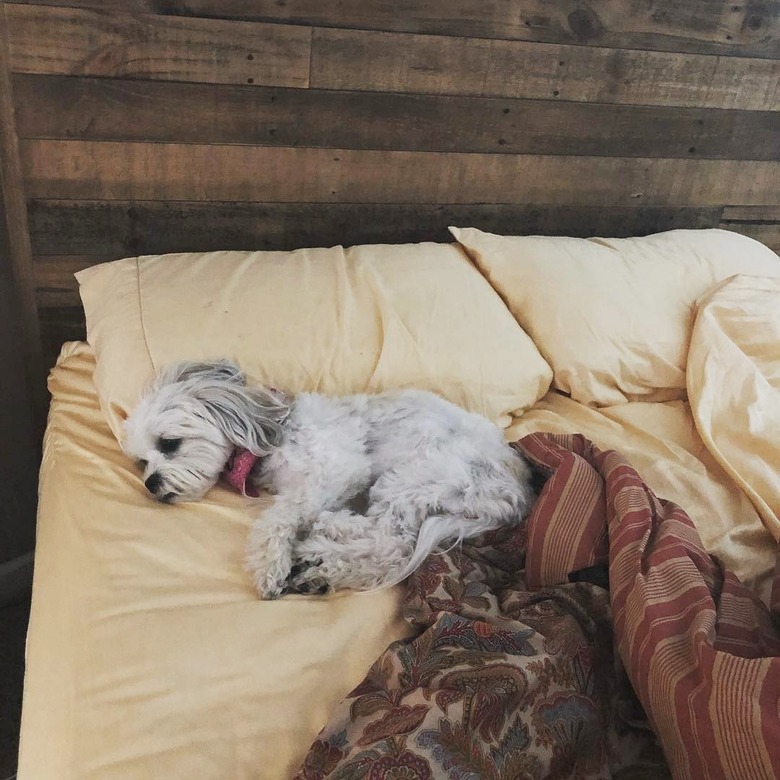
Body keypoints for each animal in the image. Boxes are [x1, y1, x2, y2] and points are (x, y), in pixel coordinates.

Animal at [123, 362, 536, 600]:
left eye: (169, 444)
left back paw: (321, 541)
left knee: (391, 543)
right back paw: (319, 566)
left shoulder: (338, 469)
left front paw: (269, 566)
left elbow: (279, 516)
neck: (269, 432)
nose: (151, 484)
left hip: (415, 476)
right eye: (142, 461)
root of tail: (516, 492)